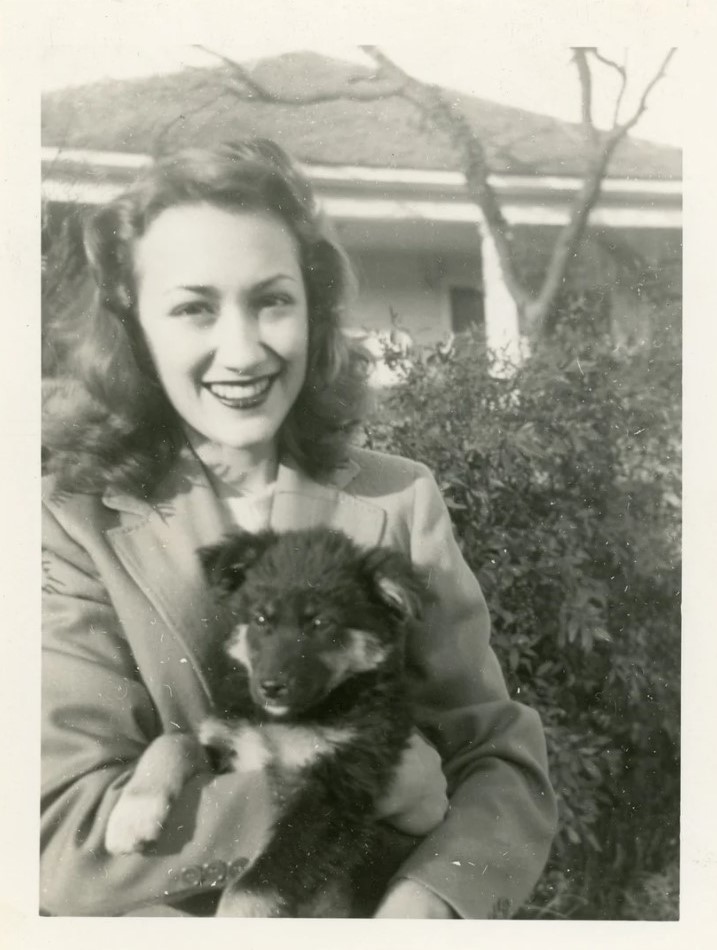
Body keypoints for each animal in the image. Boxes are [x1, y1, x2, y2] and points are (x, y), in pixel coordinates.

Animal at [105, 524, 430, 920]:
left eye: (321, 623)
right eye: (261, 619)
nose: (271, 687)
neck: (288, 720)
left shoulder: (334, 793)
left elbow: (254, 886)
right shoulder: (228, 742)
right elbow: (175, 741)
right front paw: (133, 813)